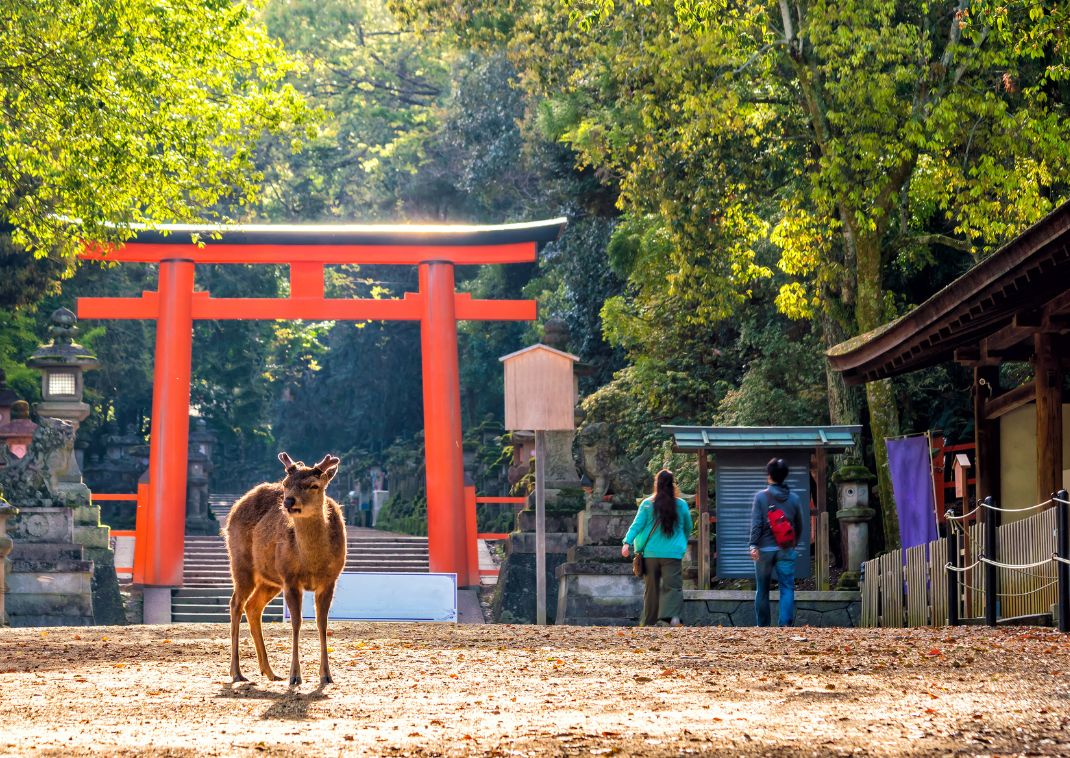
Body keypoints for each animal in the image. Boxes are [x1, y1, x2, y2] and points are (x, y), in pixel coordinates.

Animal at [225, 449, 346, 685]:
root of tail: (233, 510)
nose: (289, 501)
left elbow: (322, 624)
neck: (312, 563)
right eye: (285, 483)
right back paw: (237, 672)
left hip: (270, 579)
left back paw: (269, 672)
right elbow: (296, 623)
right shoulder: (290, 578)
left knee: (253, 606)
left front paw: (326, 675)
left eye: (314, 485)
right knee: (235, 603)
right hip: (241, 563)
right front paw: (295, 676)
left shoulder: (330, 580)